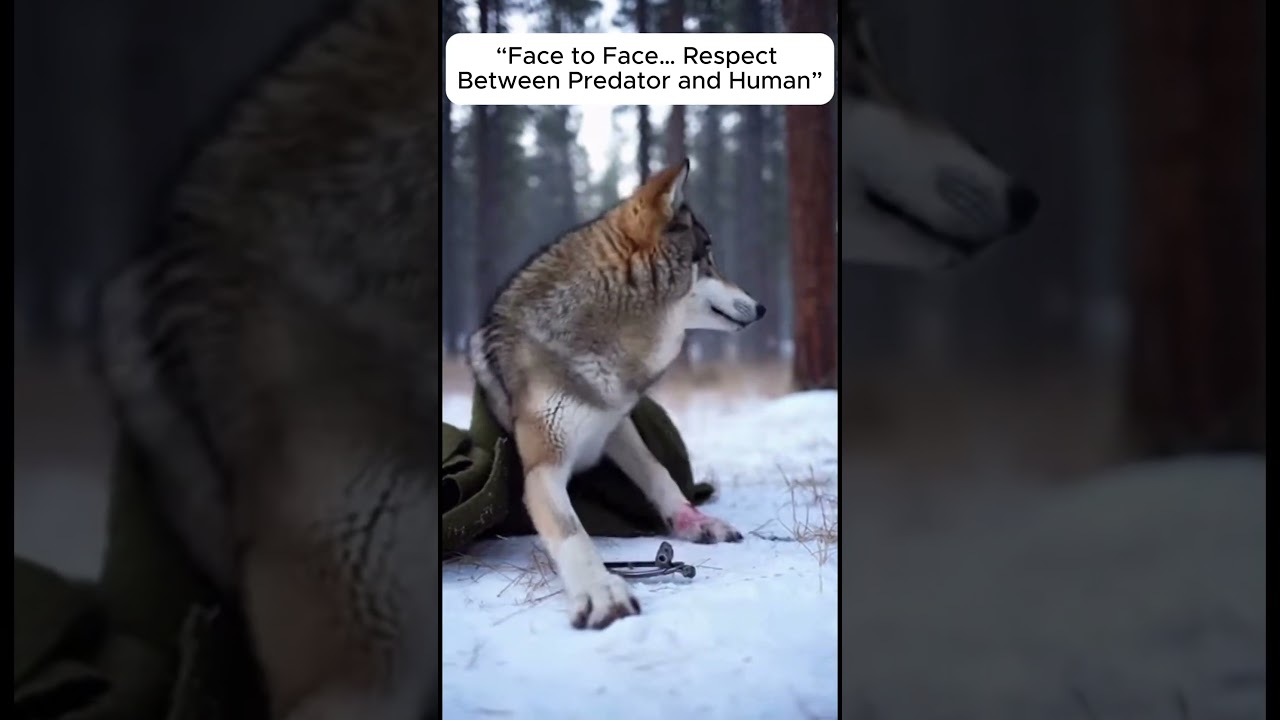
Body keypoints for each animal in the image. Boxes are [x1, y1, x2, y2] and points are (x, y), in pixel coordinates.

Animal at [468, 160, 762, 630]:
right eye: (708, 260)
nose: (763, 307)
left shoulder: (615, 422)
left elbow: (659, 473)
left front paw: (695, 522)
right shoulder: (543, 468)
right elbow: (572, 533)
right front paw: (601, 592)